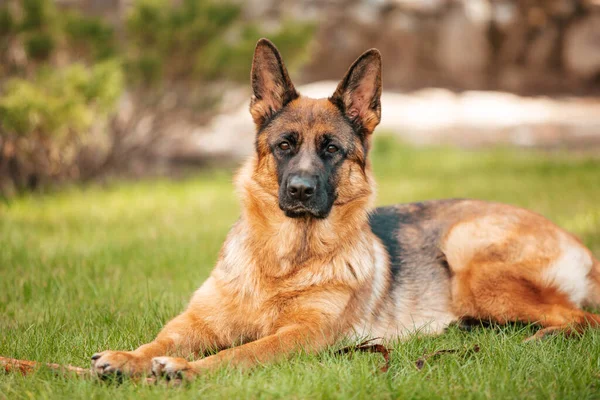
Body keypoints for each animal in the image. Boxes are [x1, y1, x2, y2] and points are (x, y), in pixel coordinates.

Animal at [90, 39, 600, 380]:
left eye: (331, 150)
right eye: (284, 146)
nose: (299, 190)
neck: (284, 264)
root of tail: (578, 245)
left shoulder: (301, 337)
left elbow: (239, 354)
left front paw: (187, 370)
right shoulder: (197, 320)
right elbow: (162, 337)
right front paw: (126, 358)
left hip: (469, 256)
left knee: (581, 320)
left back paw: (537, 339)